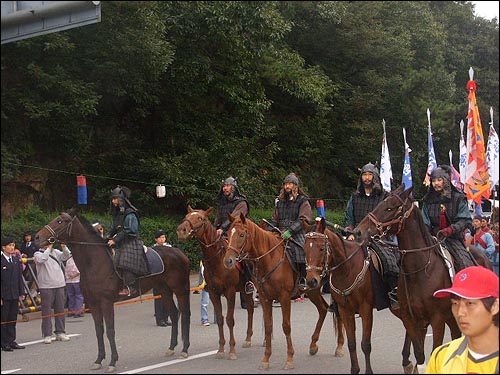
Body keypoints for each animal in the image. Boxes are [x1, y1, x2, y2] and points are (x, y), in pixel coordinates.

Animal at [34, 209, 191, 374]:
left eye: (60, 221)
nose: (37, 237)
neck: (94, 261)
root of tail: (180, 253)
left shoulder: (106, 302)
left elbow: (110, 330)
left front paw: (112, 362)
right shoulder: (93, 303)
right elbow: (99, 330)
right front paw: (98, 360)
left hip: (180, 288)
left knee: (185, 314)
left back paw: (185, 349)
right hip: (164, 290)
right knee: (174, 314)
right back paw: (172, 347)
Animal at [176, 207, 254, 360]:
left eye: (200, 218)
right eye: (187, 216)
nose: (181, 230)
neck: (217, 260)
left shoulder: (230, 292)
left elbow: (230, 320)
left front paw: (232, 350)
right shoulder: (213, 293)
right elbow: (220, 319)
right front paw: (221, 349)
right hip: (244, 289)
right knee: (250, 308)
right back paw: (248, 339)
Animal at [223, 213, 344, 372]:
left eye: (242, 235)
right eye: (228, 234)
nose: (228, 261)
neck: (269, 259)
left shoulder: (284, 297)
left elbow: (286, 326)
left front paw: (289, 359)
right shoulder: (265, 298)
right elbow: (268, 327)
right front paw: (266, 359)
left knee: (338, 312)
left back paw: (340, 346)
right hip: (312, 289)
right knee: (323, 309)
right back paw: (313, 345)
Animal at [302, 219, 412, 374]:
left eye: (321, 248)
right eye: (305, 249)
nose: (311, 281)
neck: (347, 269)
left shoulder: (366, 310)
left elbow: (365, 344)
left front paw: (368, 371)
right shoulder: (345, 310)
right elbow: (352, 343)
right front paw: (354, 369)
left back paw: (407, 362)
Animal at [356, 185, 492, 374]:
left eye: (390, 208)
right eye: (380, 204)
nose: (358, 232)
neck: (419, 270)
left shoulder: (437, 319)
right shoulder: (411, 319)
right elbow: (420, 355)